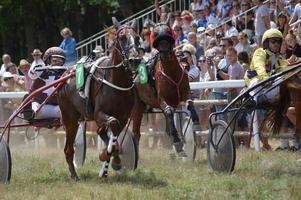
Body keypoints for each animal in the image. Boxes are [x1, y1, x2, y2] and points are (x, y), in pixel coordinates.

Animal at [56, 18, 141, 181]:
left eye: (138, 38)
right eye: (122, 37)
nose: (135, 60)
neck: (116, 83)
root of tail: (65, 76)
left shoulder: (124, 116)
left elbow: (114, 136)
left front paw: (111, 163)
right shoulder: (98, 114)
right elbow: (113, 125)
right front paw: (107, 156)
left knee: (99, 132)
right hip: (70, 118)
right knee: (68, 149)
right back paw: (74, 175)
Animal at [131, 22, 189, 157]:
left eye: (168, 31)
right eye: (156, 34)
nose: (164, 52)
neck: (172, 74)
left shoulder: (185, 94)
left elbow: (189, 104)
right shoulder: (161, 99)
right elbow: (168, 110)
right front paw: (177, 143)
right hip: (137, 106)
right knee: (136, 132)